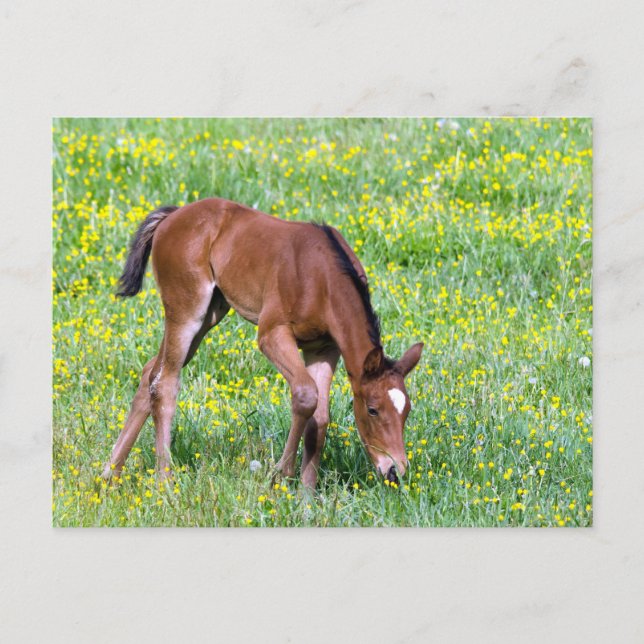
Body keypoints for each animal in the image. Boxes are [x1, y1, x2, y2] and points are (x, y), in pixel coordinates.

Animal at [102, 198, 423, 488]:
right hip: (187, 310)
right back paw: (165, 480)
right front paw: (281, 474)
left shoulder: (324, 348)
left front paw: (307, 497)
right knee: (165, 382)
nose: (395, 471)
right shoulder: (271, 333)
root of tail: (174, 215)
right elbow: (306, 395)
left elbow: (320, 418)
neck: (322, 278)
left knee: (150, 373)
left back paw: (110, 473)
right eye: (372, 409)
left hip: (210, 315)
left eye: (407, 410)